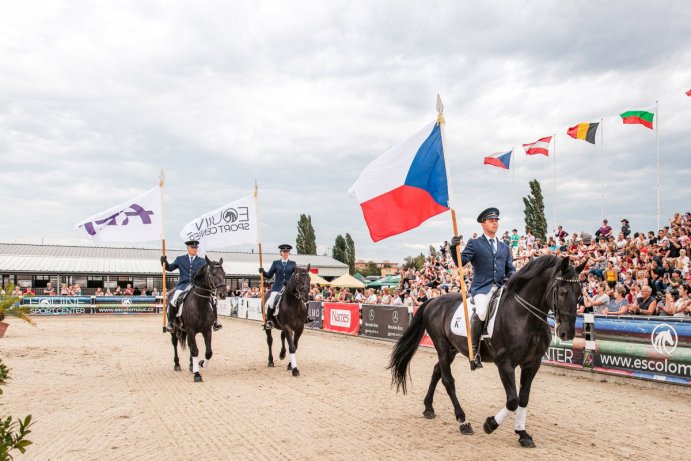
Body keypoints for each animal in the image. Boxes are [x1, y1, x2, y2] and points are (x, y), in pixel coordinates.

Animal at [390, 255, 584, 446]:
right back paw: (463, 422)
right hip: (442, 347)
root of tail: (433, 301)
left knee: (437, 372)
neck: (525, 317)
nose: (567, 333)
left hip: (452, 349)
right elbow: (512, 401)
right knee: (448, 381)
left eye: (580, 294)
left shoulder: (532, 364)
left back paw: (429, 408)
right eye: (563, 292)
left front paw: (522, 434)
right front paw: (490, 424)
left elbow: (523, 398)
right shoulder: (505, 363)